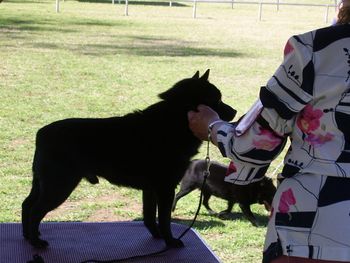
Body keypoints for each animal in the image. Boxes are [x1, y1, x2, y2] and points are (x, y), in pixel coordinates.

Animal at [21, 69, 235, 250]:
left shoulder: (150, 189)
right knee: (35, 210)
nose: (234, 111)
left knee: (27, 204)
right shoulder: (165, 188)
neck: (172, 122)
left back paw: (28, 236)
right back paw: (36, 243)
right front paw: (170, 241)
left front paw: (157, 236)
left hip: (44, 184)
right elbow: (164, 219)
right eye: (217, 100)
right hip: (59, 186)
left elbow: (149, 217)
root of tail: (41, 134)